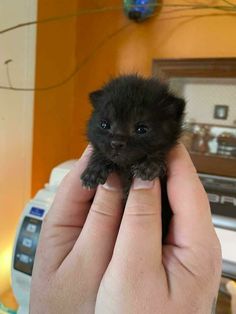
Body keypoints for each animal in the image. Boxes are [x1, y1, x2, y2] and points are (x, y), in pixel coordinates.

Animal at [80, 75, 185, 238]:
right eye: (104, 125)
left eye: (141, 129)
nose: (116, 143)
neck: (126, 168)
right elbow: (100, 153)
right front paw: (94, 169)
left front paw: (149, 165)